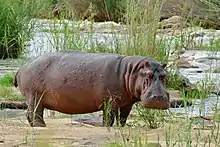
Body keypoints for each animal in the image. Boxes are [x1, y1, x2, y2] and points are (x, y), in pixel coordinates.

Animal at [13, 51, 168, 127]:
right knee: (35, 113)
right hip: (34, 96)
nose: (159, 97)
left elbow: (123, 118)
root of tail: (23, 67)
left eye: (164, 75)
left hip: (34, 97)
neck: (131, 71)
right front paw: (107, 127)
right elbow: (109, 118)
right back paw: (41, 126)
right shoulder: (110, 102)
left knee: (30, 113)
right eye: (148, 74)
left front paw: (122, 127)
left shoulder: (126, 103)